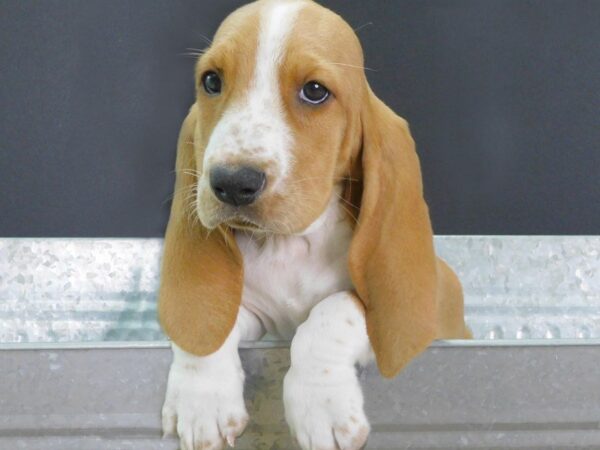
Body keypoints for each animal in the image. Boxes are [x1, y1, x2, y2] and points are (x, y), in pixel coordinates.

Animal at [157, 0, 472, 450]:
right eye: (212, 81)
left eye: (315, 91)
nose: (232, 183)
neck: (289, 244)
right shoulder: (254, 317)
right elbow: (212, 321)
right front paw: (203, 398)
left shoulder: (427, 310)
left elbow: (332, 310)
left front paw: (323, 404)